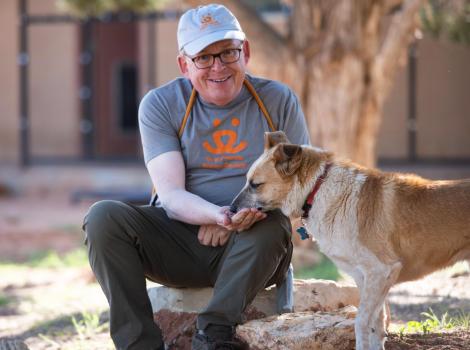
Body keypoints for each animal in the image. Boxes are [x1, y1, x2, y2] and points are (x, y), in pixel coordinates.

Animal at [230, 131, 470, 350]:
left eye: (255, 184)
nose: (231, 209)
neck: (318, 189)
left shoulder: (381, 271)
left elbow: (361, 322)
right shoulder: (367, 278)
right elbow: (376, 325)